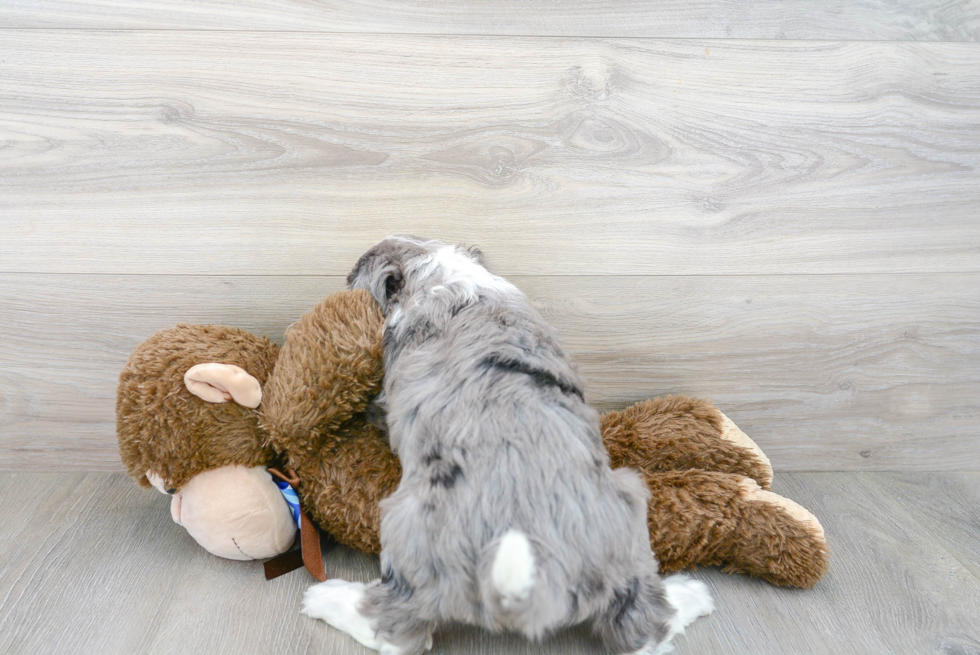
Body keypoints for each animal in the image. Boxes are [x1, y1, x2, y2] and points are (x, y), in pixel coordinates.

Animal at [300, 237, 712, 655]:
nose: (346, 275)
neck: (441, 274)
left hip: (407, 531)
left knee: (394, 628)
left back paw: (327, 599)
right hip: (628, 517)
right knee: (644, 625)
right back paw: (691, 596)